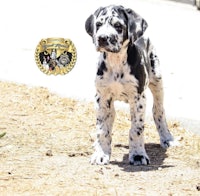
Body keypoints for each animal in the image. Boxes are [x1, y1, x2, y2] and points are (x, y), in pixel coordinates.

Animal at [85, 4, 174, 165]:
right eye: (98, 24)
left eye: (118, 26)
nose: (102, 38)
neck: (116, 62)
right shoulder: (102, 97)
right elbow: (102, 129)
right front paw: (101, 154)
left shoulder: (138, 98)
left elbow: (136, 129)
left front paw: (138, 155)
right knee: (110, 117)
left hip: (157, 80)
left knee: (158, 110)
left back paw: (167, 138)